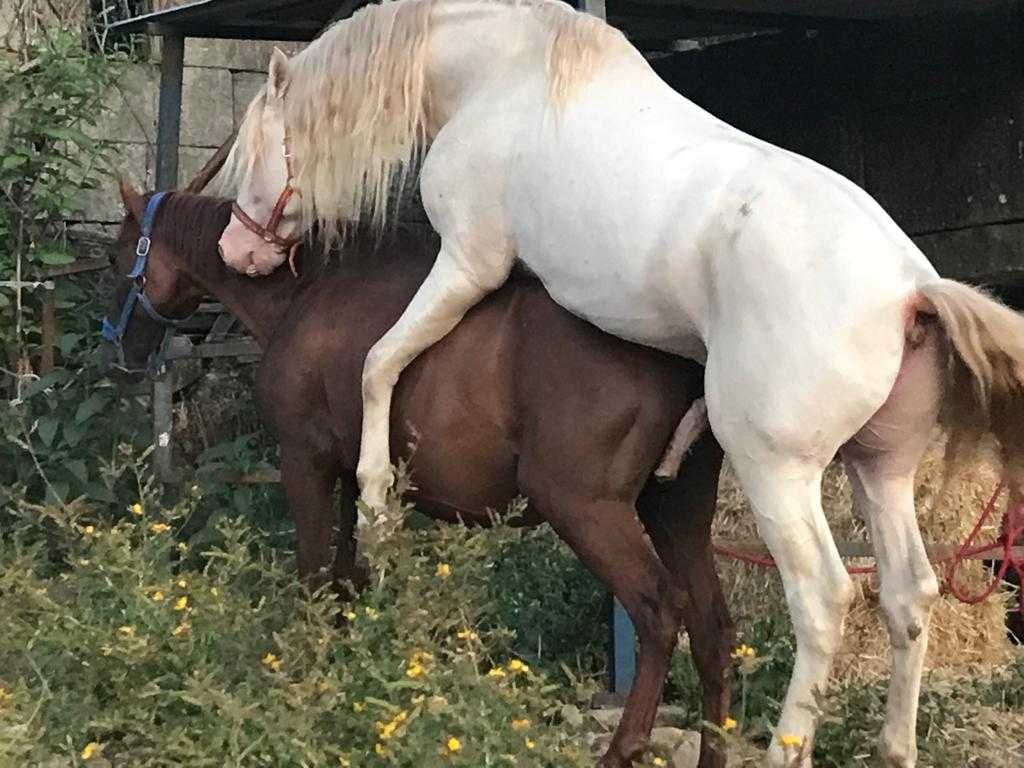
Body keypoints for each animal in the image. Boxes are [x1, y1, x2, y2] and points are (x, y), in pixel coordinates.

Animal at [108, 186, 733, 768]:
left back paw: (623, 747)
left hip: (586, 509)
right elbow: (345, 581)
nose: (119, 351)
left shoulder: (304, 461)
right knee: (712, 627)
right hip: (677, 509)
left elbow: (312, 578)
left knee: (659, 612)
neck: (306, 292)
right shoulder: (348, 477)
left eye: (120, 257)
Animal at [218, 3, 1024, 765]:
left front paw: (380, 499)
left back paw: (780, 750)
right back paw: (895, 749)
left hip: (779, 474)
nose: (235, 251)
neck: (499, 75)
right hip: (879, 472)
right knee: (908, 595)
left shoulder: (469, 263)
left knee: (823, 600)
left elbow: (380, 362)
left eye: (253, 152)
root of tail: (909, 291)